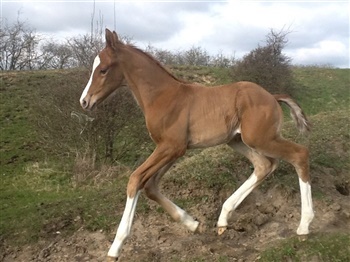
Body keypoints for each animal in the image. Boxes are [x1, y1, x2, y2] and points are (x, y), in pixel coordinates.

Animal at [80, 29, 314, 260]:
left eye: (102, 70)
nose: (84, 101)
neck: (162, 96)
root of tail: (272, 96)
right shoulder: (172, 149)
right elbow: (150, 186)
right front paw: (192, 224)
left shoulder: (171, 147)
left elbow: (135, 179)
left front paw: (115, 248)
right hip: (237, 141)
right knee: (264, 165)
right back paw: (223, 219)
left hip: (260, 139)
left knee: (299, 154)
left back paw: (304, 226)